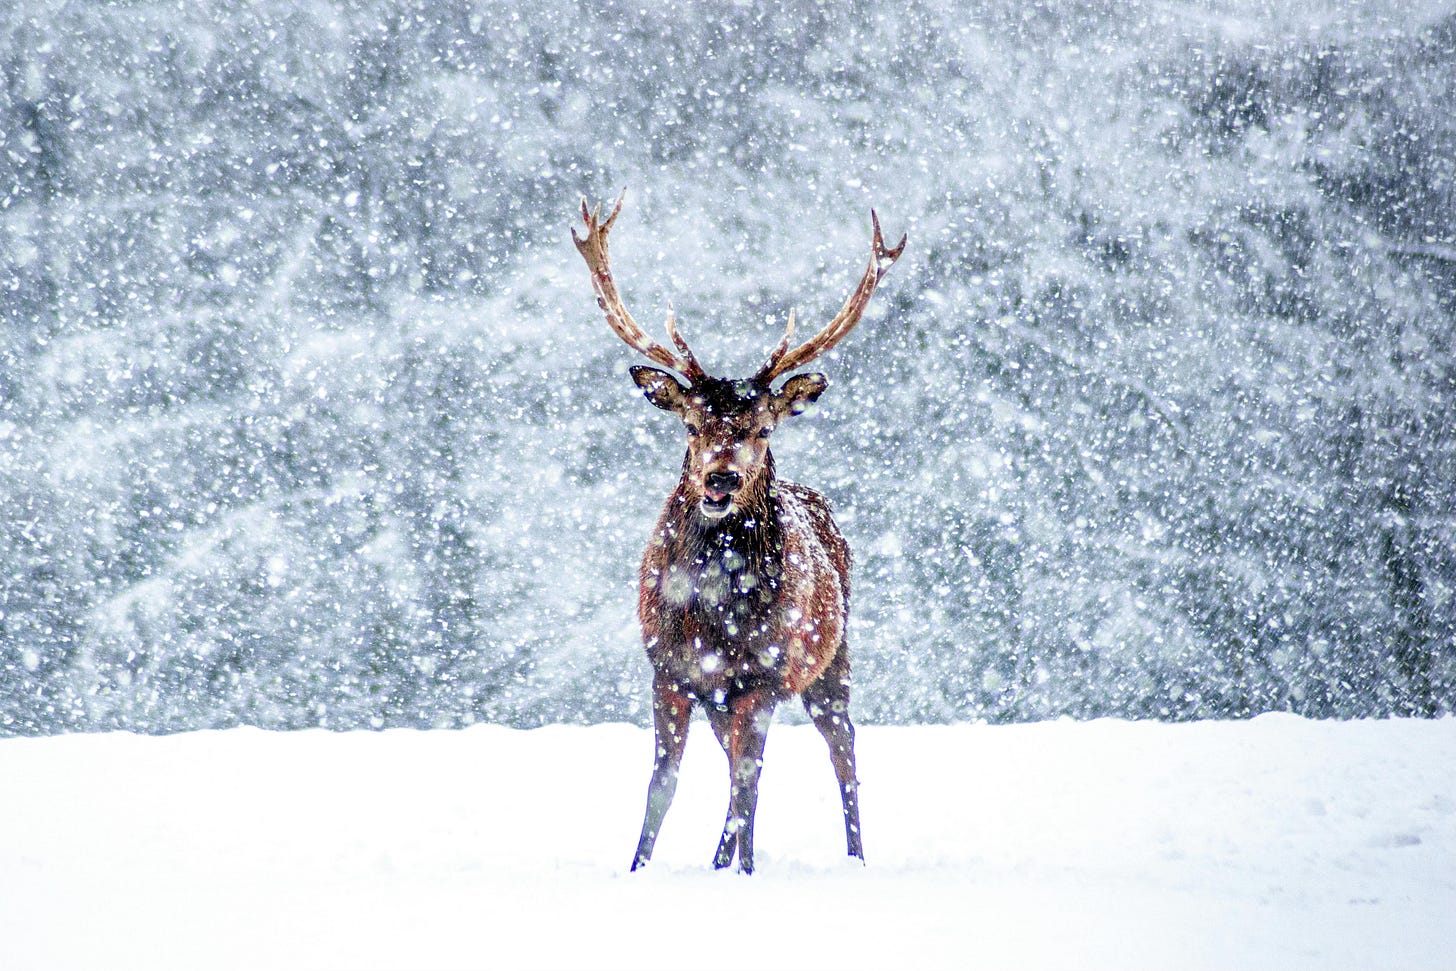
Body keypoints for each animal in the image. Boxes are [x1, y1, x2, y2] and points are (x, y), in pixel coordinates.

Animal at [571, 193, 905, 874]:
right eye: (692, 423)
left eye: (763, 426)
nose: (721, 478)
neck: (710, 613)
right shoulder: (670, 673)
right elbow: (663, 783)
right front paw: (640, 867)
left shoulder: (764, 677)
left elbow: (745, 784)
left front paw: (739, 870)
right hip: (724, 698)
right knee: (739, 765)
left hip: (830, 661)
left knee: (839, 750)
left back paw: (852, 857)